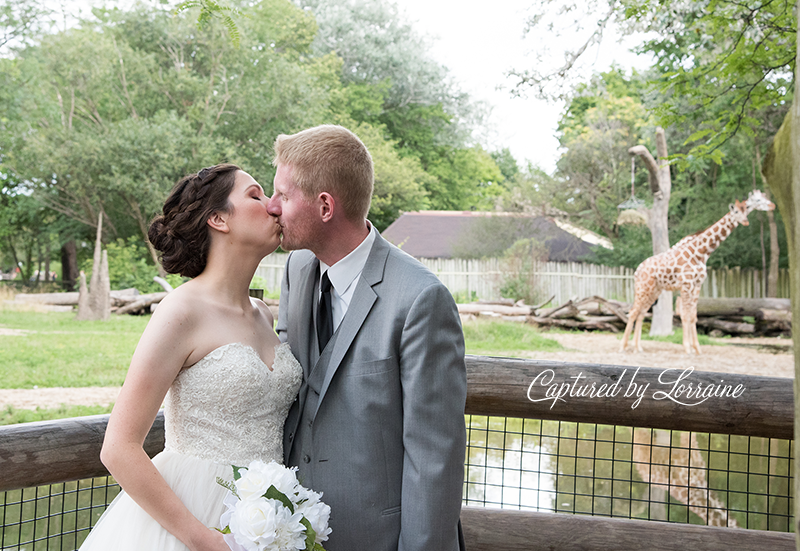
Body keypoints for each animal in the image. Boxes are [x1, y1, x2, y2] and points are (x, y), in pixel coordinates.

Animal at [620, 190, 776, 354]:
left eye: (745, 210)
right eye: (736, 211)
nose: (745, 222)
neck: (701, 253)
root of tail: (637, 270)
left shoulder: (697, 285)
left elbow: (693, 316)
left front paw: (697, 348)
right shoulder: (686, 284)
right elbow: (686, 315)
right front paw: (688, 348)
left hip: (654, 290)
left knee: (641, 313)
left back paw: (638, 347)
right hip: (643, 288)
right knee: (633, 312)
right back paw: (623, 346)